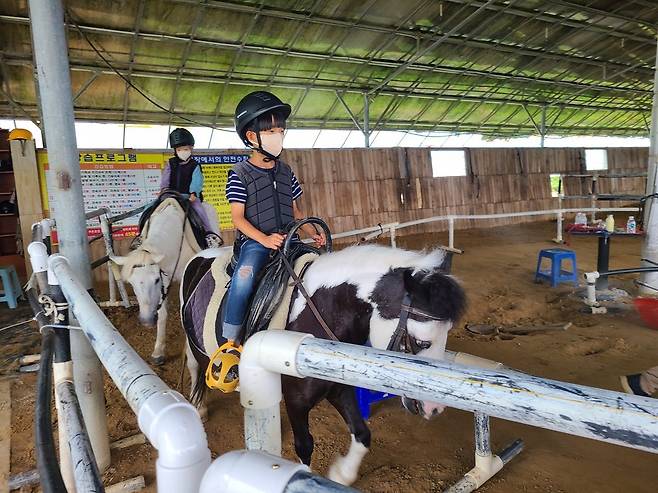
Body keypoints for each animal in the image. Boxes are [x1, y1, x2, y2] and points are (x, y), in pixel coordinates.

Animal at [111, 198, 217, 364]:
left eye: (155, 280)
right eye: (131, 284)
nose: (146, 321)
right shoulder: (165, 279)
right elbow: (162, 314)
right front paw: (158, 352)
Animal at [182, 244, 464, 482]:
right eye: (421, 342)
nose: (434, 408)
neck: (319, 314)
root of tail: (201, 254)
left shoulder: (339, 388)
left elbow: (362, 434)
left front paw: (342, 474)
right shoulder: (296, 400)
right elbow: (305, 446)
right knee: (195, 365)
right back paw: (199, 406)